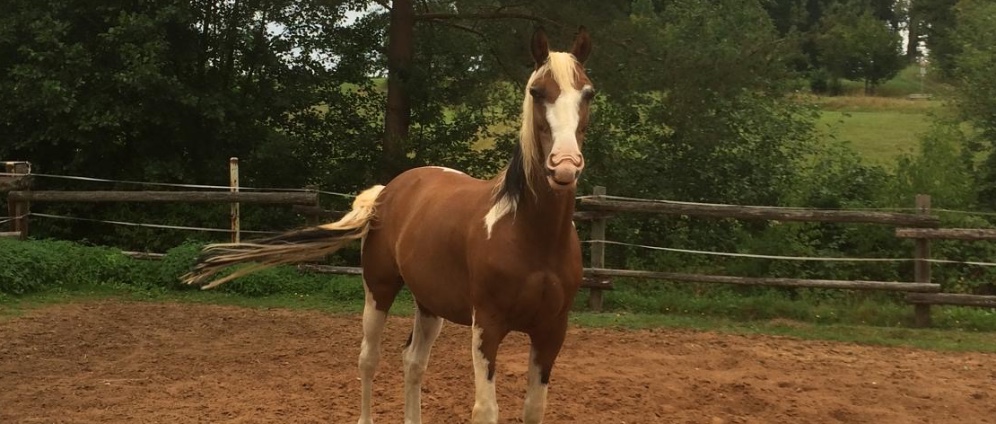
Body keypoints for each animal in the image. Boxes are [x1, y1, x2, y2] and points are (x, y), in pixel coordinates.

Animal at [182, 26, 595, 424]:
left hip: (429, 304)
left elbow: (534, 409)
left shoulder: (551, 331)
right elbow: (485, 410)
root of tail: (389, 190)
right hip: (378, 289)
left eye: (588, 93)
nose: (564, 166)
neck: (529, 235)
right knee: (369, 360)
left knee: (413, 362)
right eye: (537, 92)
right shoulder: (487, 327)